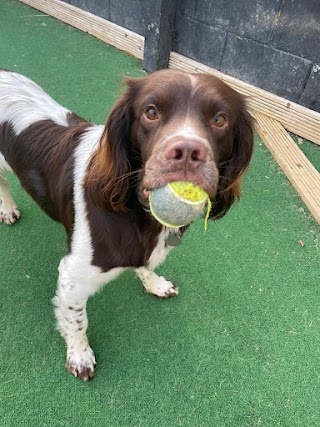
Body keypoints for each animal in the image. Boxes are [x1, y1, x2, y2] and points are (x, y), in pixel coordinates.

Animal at [0, 68, 255, 380]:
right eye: (151, 112)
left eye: (220, 119)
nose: (187, 152)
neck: (139, 213)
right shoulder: (72, 275)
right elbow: (77, 320)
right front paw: (80, 356)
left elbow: (146, 264)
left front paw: (155, 284)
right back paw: (8, 208)